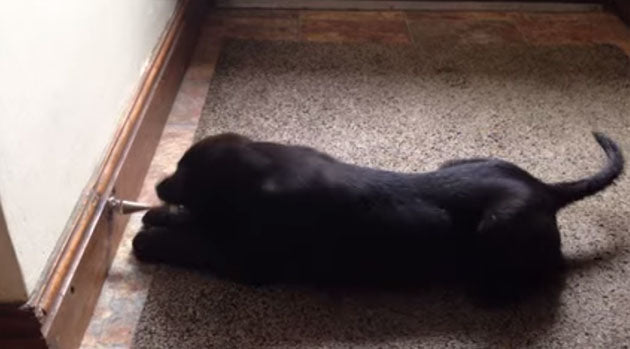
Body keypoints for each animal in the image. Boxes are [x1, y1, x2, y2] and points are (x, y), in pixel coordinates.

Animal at [133, 132, 628, 300]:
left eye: (186, 174)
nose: (157, 187)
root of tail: (545, 189)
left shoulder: (247, 261)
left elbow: (197, 242)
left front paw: (149, 235)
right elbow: (199, 225)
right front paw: (159, 216)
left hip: (497, 237)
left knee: (546, 269)